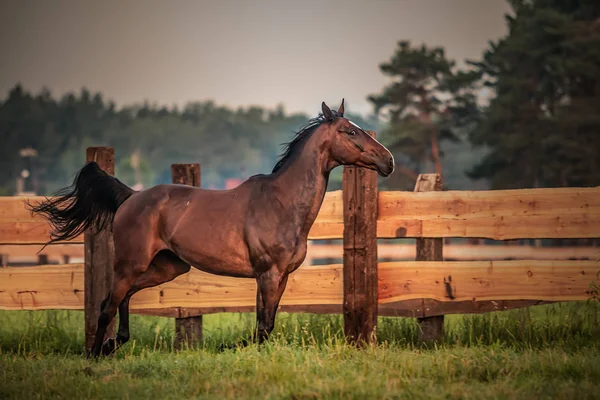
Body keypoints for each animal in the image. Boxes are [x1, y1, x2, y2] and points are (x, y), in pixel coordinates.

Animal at [30, 100, 394, 356]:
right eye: (350, 132)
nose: (388, 161)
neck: (282, 203)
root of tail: (131, 197)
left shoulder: (280, 276)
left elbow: (267, 324)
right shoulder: (268, 274)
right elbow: (263, 325)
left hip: (167, 267)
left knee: (123, 296)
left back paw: (114, 344)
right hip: (131, 263)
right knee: (107, 304)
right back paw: (95, 355)